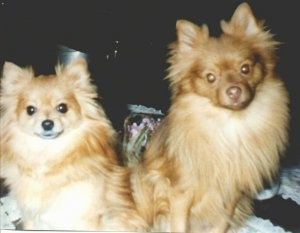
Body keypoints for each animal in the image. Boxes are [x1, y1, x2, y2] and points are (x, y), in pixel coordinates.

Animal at [0, 57, 149, 231]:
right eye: (30, 110)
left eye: (62, 108)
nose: (47, 123)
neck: (48, 156)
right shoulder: (32, 217)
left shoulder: (84, 217)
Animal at [131, 2, 288, 233]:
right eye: (210, 78)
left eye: (245, 69)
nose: (234, 91)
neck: (230, 124)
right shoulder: (180, 194)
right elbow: (179, 225)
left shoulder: (230, 200)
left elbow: (220, 226)